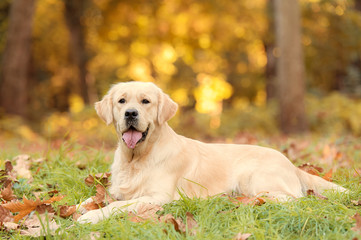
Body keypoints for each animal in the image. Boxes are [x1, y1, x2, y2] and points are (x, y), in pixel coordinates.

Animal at [78, 81, 346, 224]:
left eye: (145, 101)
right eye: (122, 101)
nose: (130, 114)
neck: (136, 159)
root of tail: (290, 162)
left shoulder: (157, 197)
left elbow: (118, 206)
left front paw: (89, 218)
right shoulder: (119, 189)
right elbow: (96, 199)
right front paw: (84, 206)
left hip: (253, 176)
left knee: (291, 198)